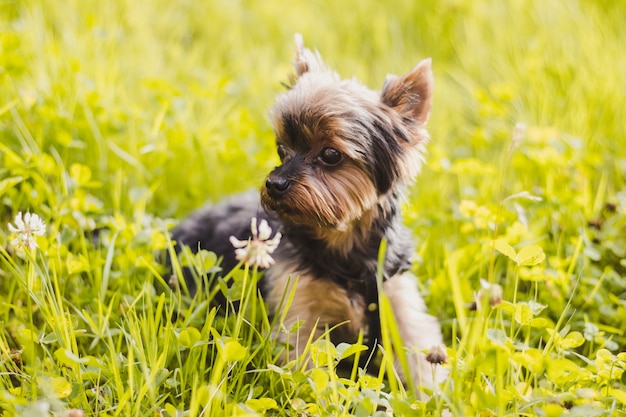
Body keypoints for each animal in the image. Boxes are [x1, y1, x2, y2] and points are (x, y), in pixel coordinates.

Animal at [171, 35, 444, 390]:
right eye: (281, 149)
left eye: (330, 154)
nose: (274, 184)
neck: (344, 247)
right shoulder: (298, 308)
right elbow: (310, 367)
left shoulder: (395, 298)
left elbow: (418, 353)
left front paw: (431, 394)